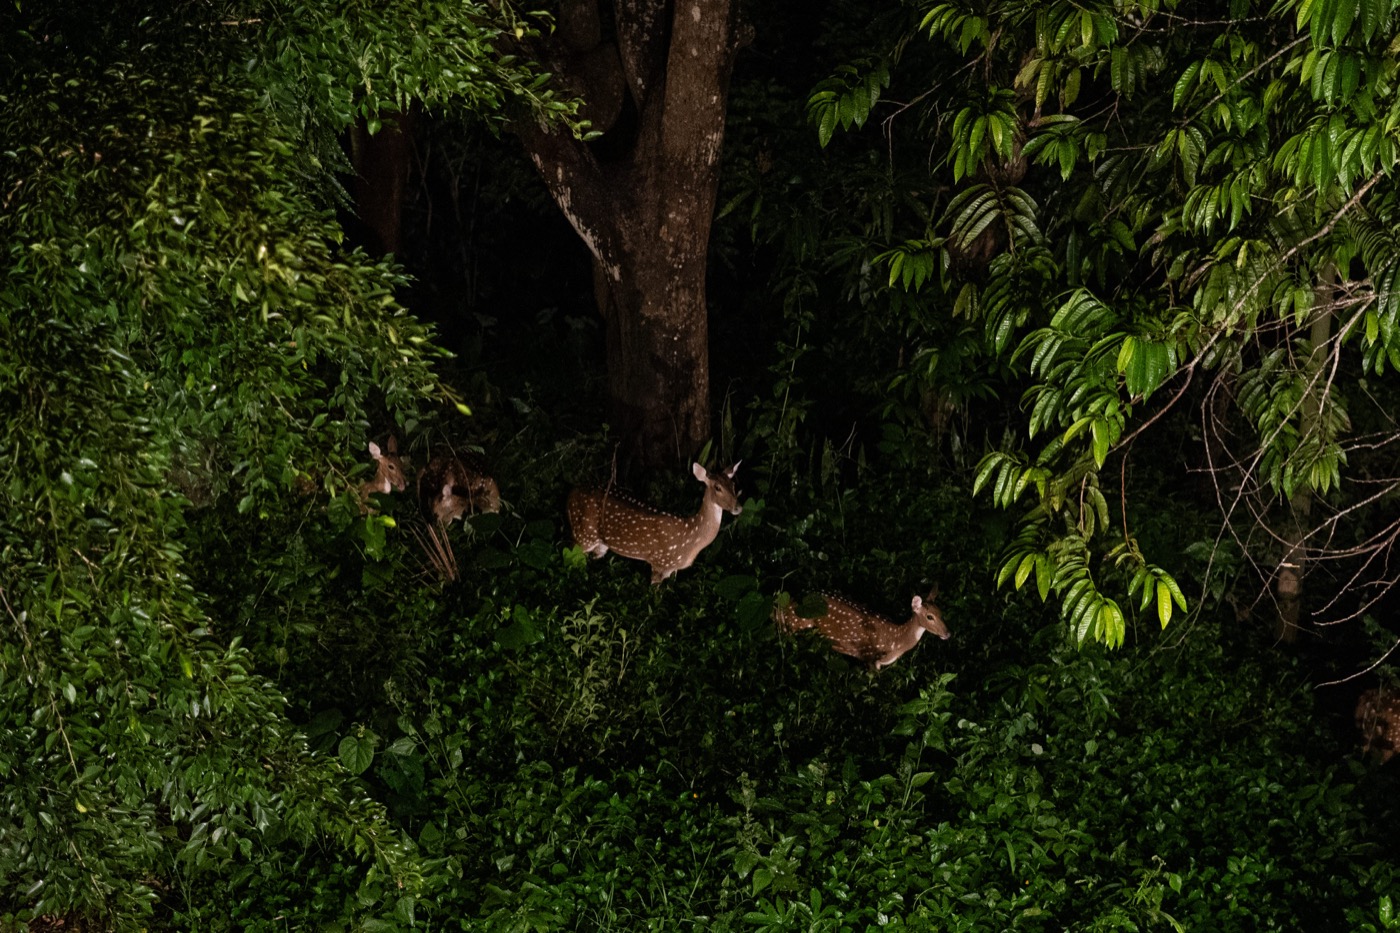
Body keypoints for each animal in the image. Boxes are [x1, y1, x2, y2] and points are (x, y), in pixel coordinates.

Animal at [567, 462, 742, 584]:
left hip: (600, 545)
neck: (690, 538)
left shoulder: (673, 568)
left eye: (733, 485)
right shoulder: (660, 562)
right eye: (717, 487)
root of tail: (570, 494)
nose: (738, 507)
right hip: (582, 535)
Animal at [775, 588, 949, 671]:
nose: (947, 633)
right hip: (795, 627)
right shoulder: (868, 656)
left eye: (941, 613)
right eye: (929, 617)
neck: (895, 641)